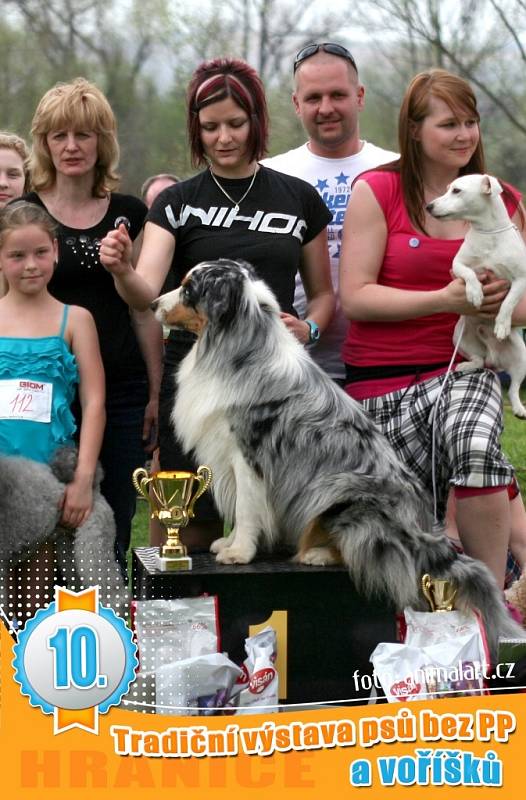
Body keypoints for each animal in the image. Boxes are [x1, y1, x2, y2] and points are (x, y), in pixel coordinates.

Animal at [428, 173, 526, 418]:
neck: (487, 232)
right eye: (447, 188)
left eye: (456, 190)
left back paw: (519, 408)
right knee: (478, 360)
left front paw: (501, 323)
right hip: (460, 337)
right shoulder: (458, 265)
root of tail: (494, 357)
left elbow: (509, 302)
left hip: (522, 356)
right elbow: (469, 273)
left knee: (514, 387)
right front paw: (474, 293)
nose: (429, 206)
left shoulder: (521, 279)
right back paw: (466, 365)